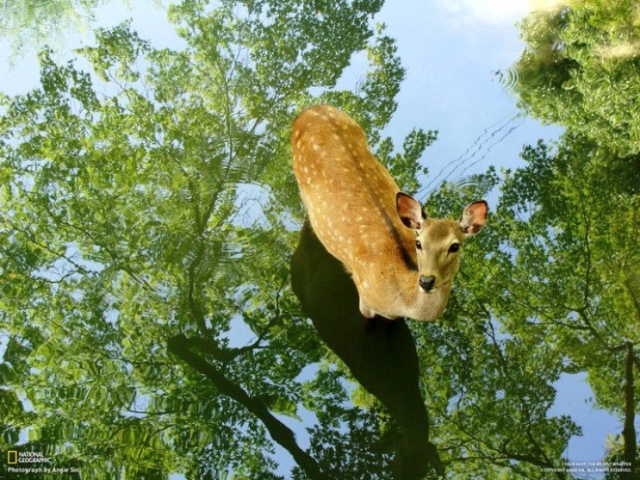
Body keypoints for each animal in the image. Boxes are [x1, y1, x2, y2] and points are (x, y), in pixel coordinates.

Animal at [292, 105, 488, 322]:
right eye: (419, 243)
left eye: (454, 246)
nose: (426, 280)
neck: (399, 302)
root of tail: (310, 109)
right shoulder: (365, 301)